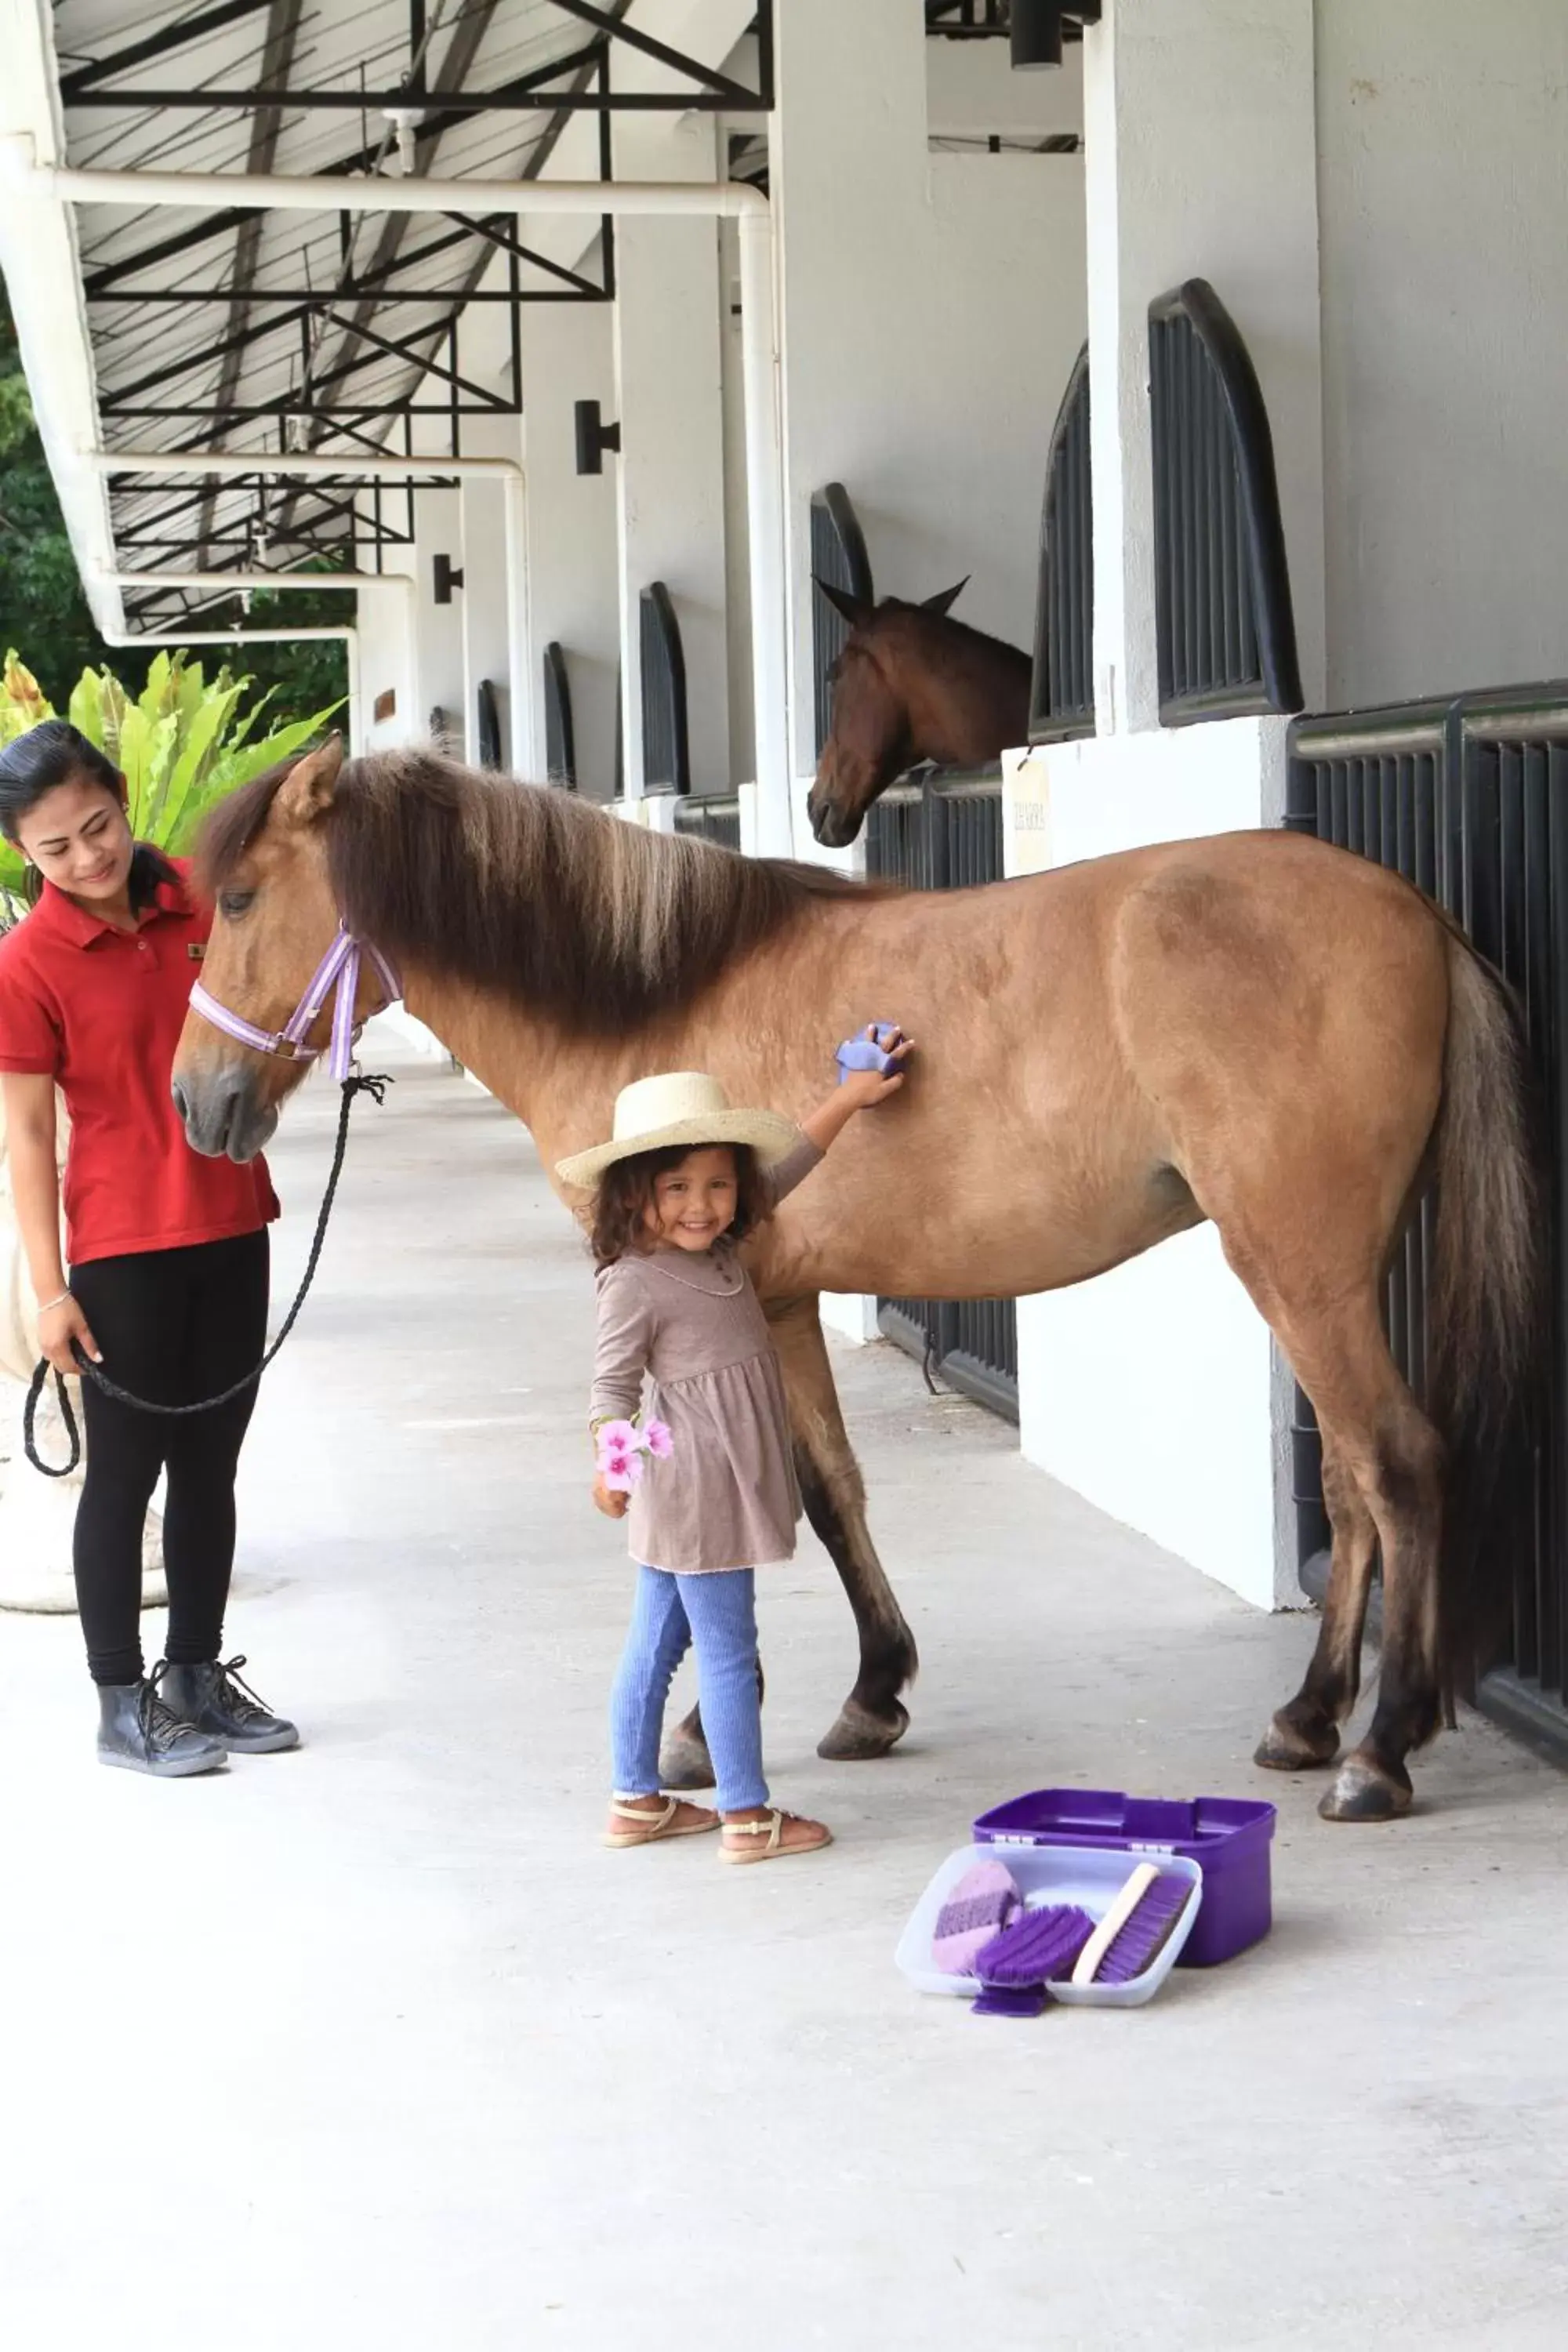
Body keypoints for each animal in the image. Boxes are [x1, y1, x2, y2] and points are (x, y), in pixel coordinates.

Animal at [177, 743, 1542, 1825]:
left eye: (238, 897)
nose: (202, 1104)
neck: (644, 1003)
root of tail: (1411, 912)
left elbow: (730, 1508)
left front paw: (702, 1731)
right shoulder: (773, 1301)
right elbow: (828, 1494)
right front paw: (870, 1692)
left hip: (1297, 1263)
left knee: (1397, 1465)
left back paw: (1377, 1753)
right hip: (1323, 1269)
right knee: (1349, 1483)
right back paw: (1309, 1718)